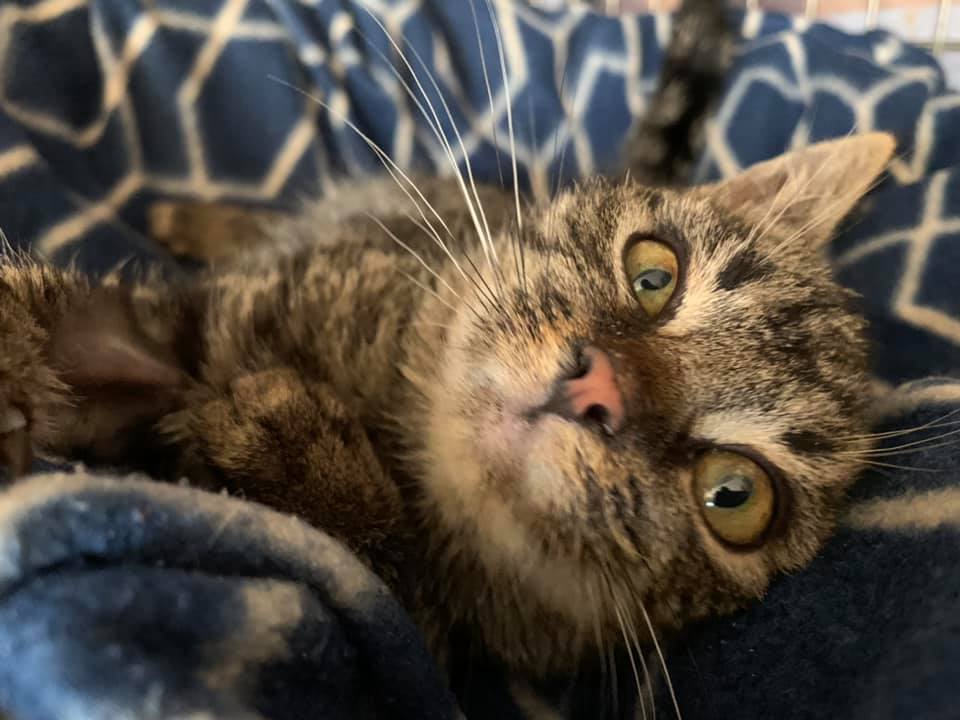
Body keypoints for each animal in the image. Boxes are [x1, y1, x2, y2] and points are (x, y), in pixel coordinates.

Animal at [0, 0, 893, 687]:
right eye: (654, 273)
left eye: (734, 497)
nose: (598, 388)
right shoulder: (199, 321)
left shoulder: (432, 636)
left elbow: (374, 573)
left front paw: (304, 456)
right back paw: (194, 217)